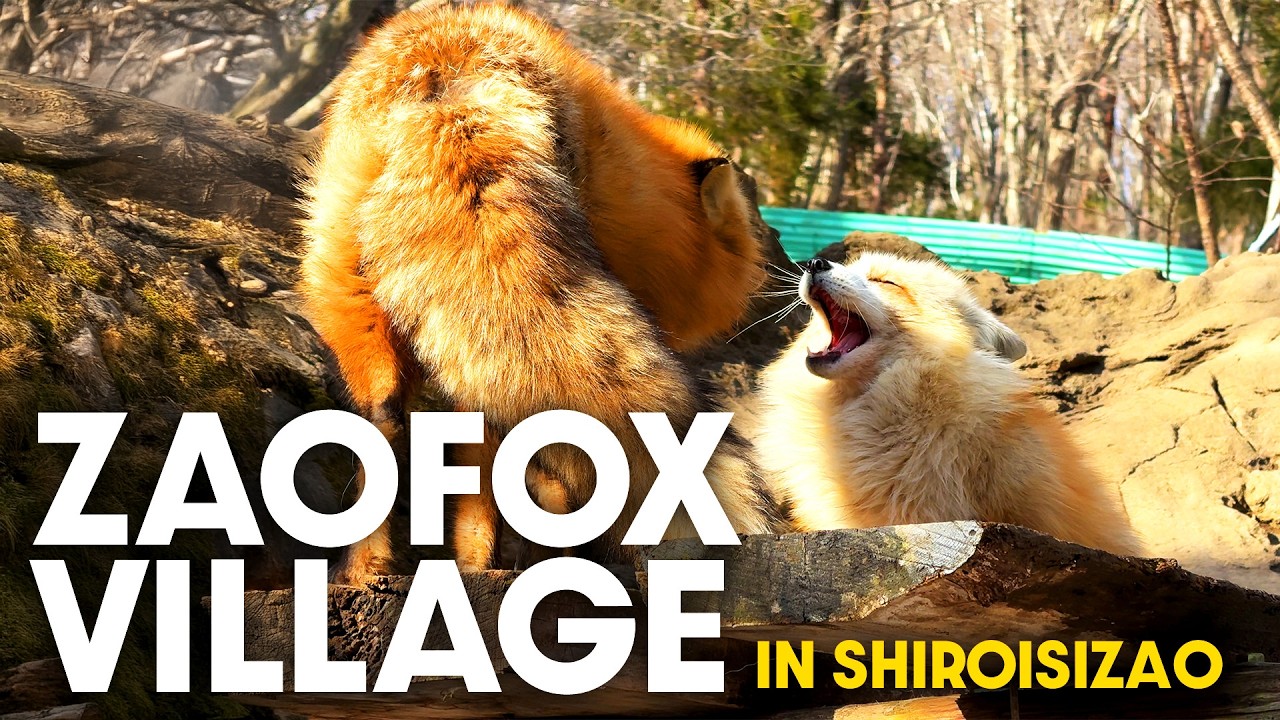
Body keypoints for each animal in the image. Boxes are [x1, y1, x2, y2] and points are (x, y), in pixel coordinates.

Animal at [299, 4, 784, 583]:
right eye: (747, 236)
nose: (779, 270)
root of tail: (445, 76)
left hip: (351, 299)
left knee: (385, 424)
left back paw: (378, 571)